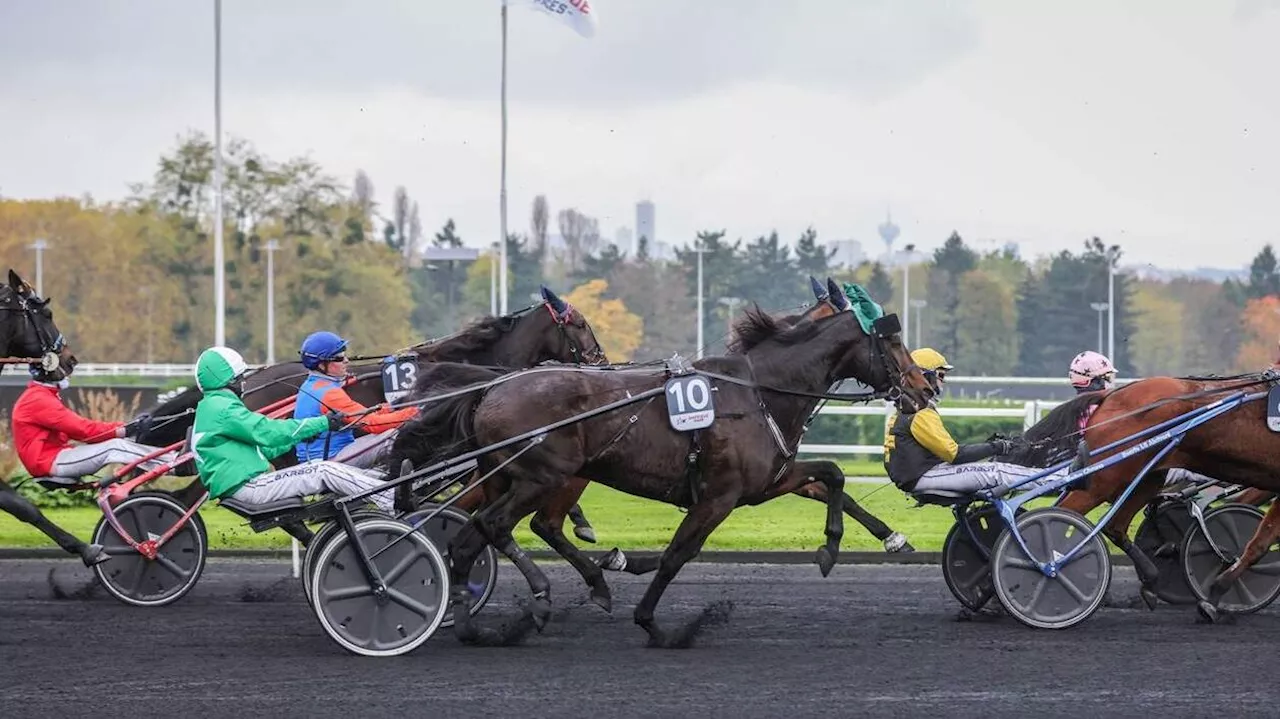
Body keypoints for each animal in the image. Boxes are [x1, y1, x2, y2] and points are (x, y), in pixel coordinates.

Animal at [386, 287, 931, 647]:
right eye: (893, 343)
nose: (926, 387)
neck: (758, 393)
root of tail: (492, 387)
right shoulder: (719, 497)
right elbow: (677, 554)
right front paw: (655, 622)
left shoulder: (764, 484)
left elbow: (833, 474)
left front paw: (833, 547)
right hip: (542, 476)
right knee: (498, 526)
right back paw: (540, 596)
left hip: (507, 476)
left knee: (470, 538)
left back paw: (477, 624)